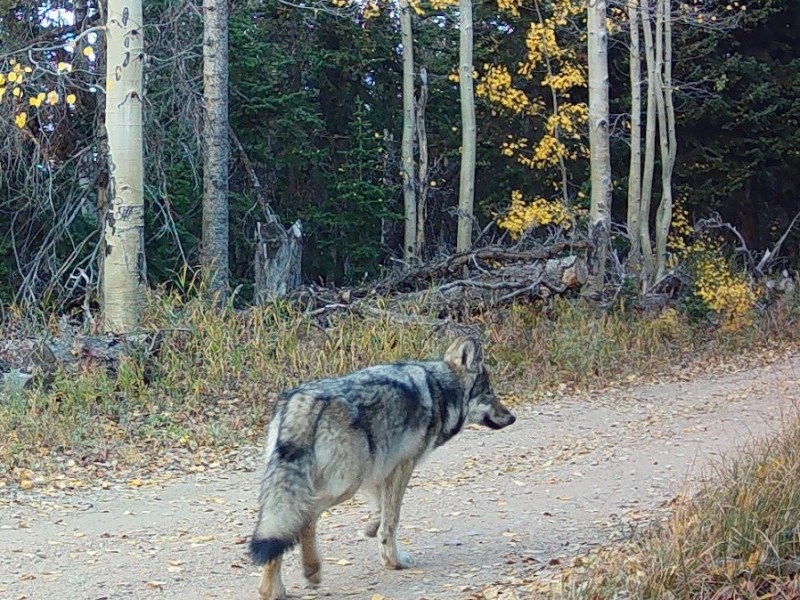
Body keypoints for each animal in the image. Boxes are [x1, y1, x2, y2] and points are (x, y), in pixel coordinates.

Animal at [249, 337, 516, 600]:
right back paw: (309, 571)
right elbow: (392, 519)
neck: (440, 390)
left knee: (281, 529)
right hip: (345, 485)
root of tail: (302, 399)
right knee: (304, 518)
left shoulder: (379, 473)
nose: (512, 417)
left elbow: (382, 510)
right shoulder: (401, 466)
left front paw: (370, 529)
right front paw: (394, 561)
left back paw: (272, 589)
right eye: (489, 393)